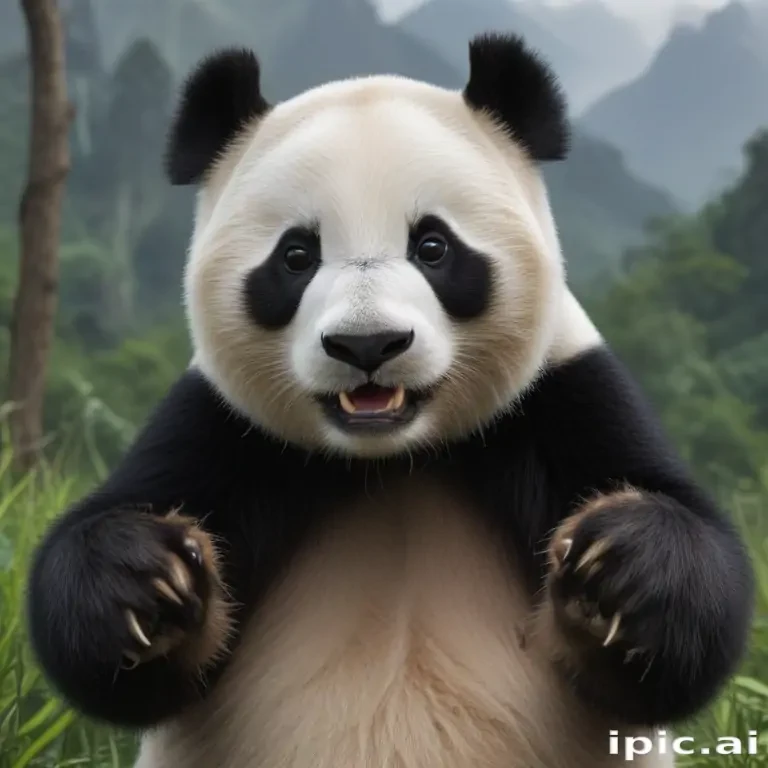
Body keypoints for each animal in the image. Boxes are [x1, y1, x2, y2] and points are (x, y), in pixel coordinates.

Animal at [28, 33, 753, 768]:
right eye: (296, 255)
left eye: (433, 246)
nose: (367, 343)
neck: (394, 460)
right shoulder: (222, 428)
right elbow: (111, 654)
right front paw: (146, 579)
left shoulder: (563, 397)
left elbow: (685, 633)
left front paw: (622, 570)